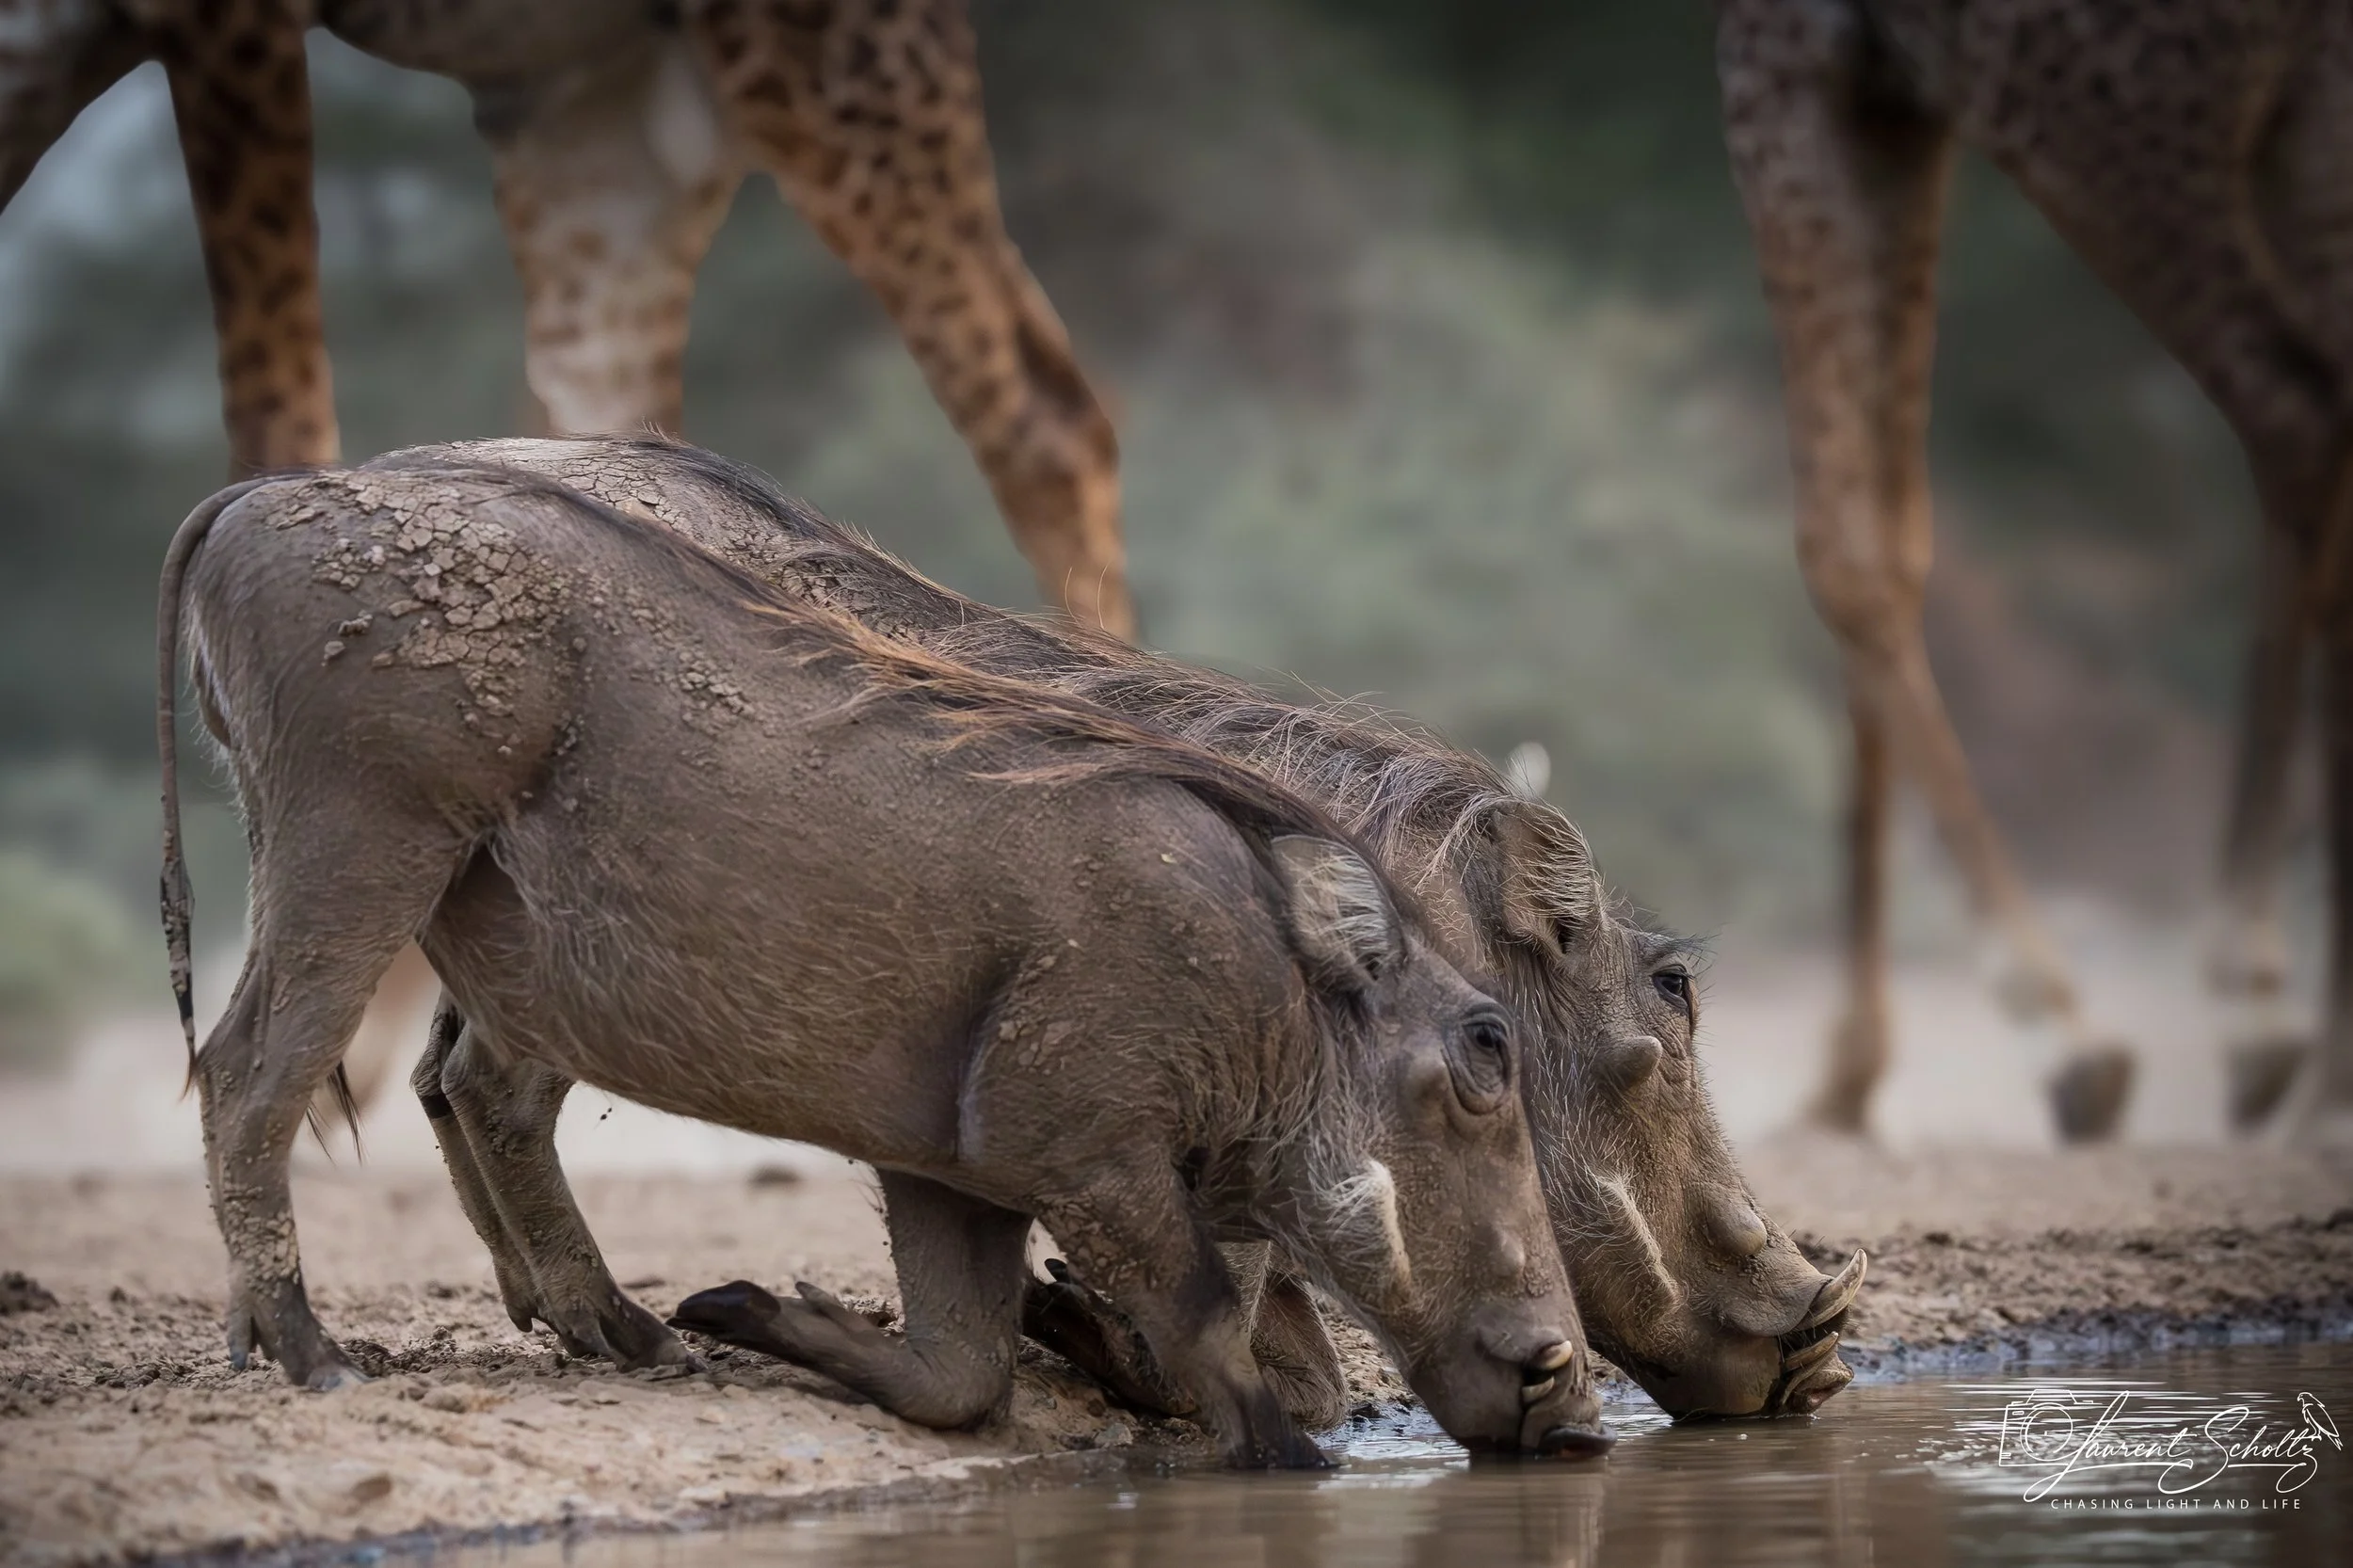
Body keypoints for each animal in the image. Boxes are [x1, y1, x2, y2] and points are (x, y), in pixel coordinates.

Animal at [1715, 0, 2353, 1141]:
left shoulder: (1790, 59)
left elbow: (1843, 549)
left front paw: (2059, 1033)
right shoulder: (1890, 90)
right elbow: (1898, 531)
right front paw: (1847, 1075)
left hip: (2108, 107)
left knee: (2293, 405)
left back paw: (2259, 1008)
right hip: (2293, 103)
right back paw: (2321, 1069)